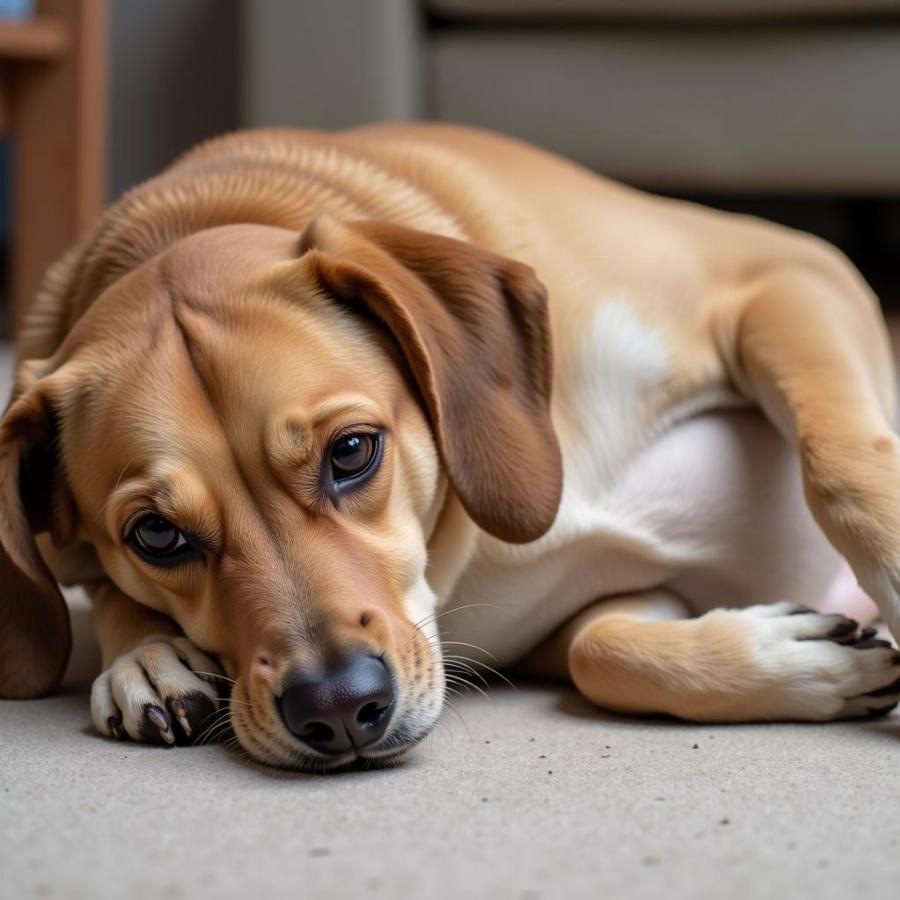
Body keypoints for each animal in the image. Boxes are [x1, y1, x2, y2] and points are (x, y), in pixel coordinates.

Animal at [1, 125, 900, 772]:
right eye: (156, 534)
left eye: (352, 452)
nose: (338, 708)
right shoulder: (618, 606)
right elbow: (603, 651)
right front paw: (149, 655)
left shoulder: (786, 270)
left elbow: (842, 463)